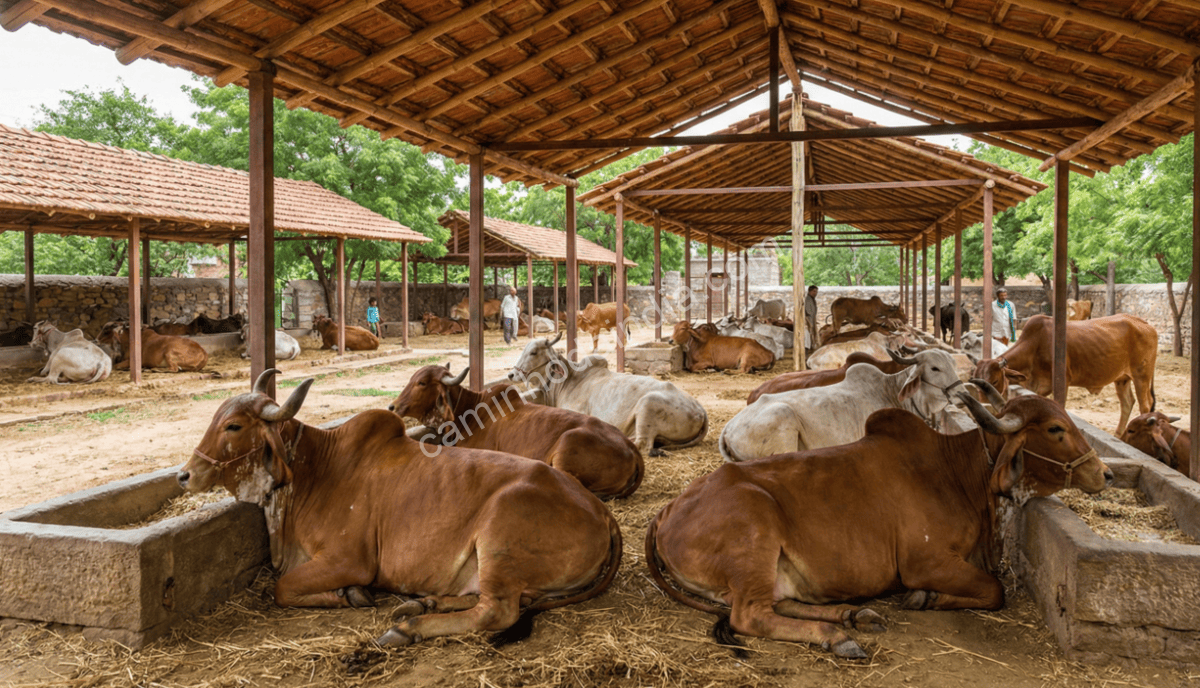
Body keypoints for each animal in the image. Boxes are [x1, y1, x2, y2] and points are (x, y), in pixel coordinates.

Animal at [177, 369, 621, 648]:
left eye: (234, 426)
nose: (185, 475)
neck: (315, 471)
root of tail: (602, 513)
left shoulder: (350, 560)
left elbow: (281, 589)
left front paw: (350, 595)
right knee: (495, 600)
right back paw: (424, 603)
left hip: (499, 533)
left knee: (496, 612)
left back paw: (409, 627)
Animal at [508, 333, 708, 456]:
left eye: (534, 352)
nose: (511, 374)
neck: (568, 380)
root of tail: (701, 410)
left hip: (648, 405)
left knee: (642, 444)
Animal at [646, 393, 1112, 658]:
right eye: (1055, 428)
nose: (1105, 474)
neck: (957, 472)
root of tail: (666, 511)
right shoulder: (923, 562)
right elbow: (994, 590)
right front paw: (925, 598)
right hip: (754, 533)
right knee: (750, 616)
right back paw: (837, 636)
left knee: (777, 604)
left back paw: (854, 615)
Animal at [973, 314, 1157, 436]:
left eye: (995, 380)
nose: (985, 406)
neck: (1035, 345)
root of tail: (1146, 324)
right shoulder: (1035, 386)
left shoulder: (1063, 382)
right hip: (1122, 379)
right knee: (1127, 403)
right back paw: (1118, 435)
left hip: (1142, 375)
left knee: (1145, 405)